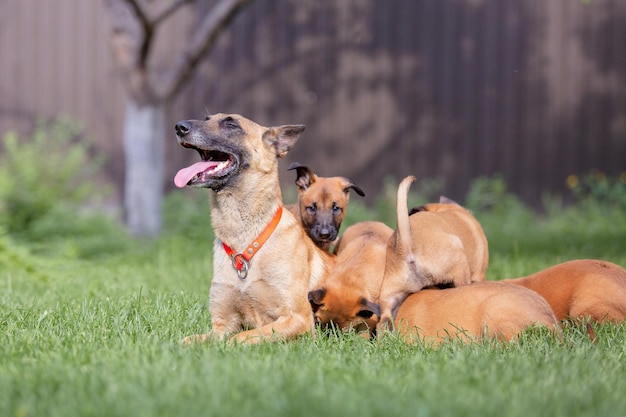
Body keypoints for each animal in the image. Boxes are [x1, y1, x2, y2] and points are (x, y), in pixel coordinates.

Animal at [173, 112, 334, 342]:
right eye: (206, 118)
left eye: (231, 123)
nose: (179, 127)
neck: (245, 241)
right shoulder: (221, 325)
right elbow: (188, 340)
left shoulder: (297, 319)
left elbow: (242, 337)